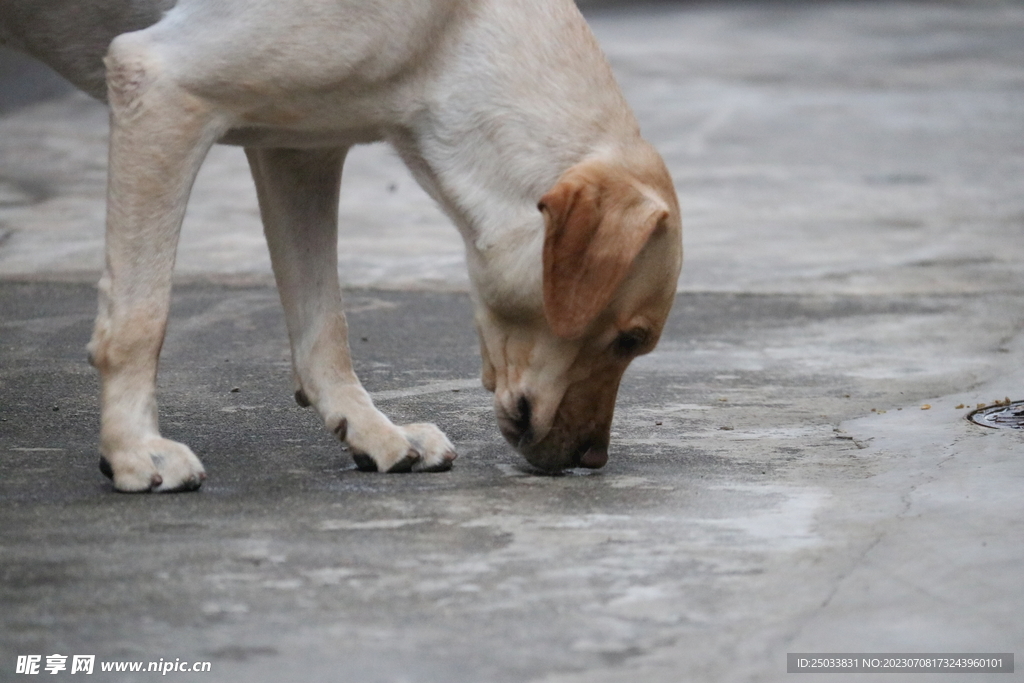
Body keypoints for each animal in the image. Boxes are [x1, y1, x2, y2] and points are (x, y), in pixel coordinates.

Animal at [4, 0, 684, 491]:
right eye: (628, 339)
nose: (593, 459)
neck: (449, 34)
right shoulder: (164, 86)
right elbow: (141, 317)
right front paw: (131, 450)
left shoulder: (299, 151)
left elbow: (324, 327)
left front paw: (371, 430)